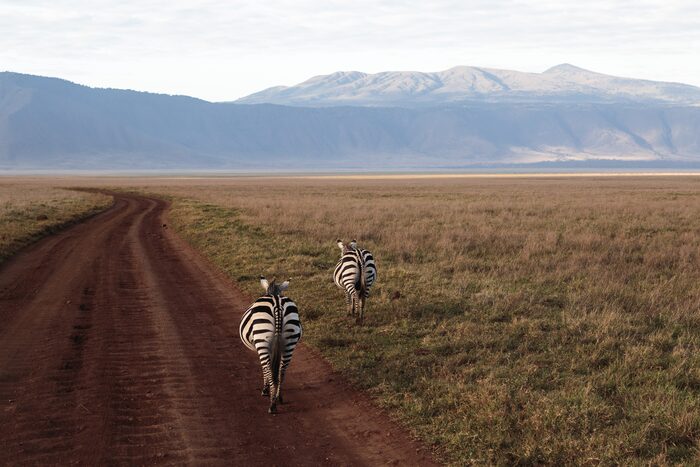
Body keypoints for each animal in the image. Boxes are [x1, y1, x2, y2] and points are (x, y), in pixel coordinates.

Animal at [239, 276, 303, 413]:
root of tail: (277, 303)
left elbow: (265, 369)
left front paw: (265, 389)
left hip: (262, 338)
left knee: (268, 369)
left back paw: (272, 405)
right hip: (289, 342)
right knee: (281, 371)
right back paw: (278, 397)